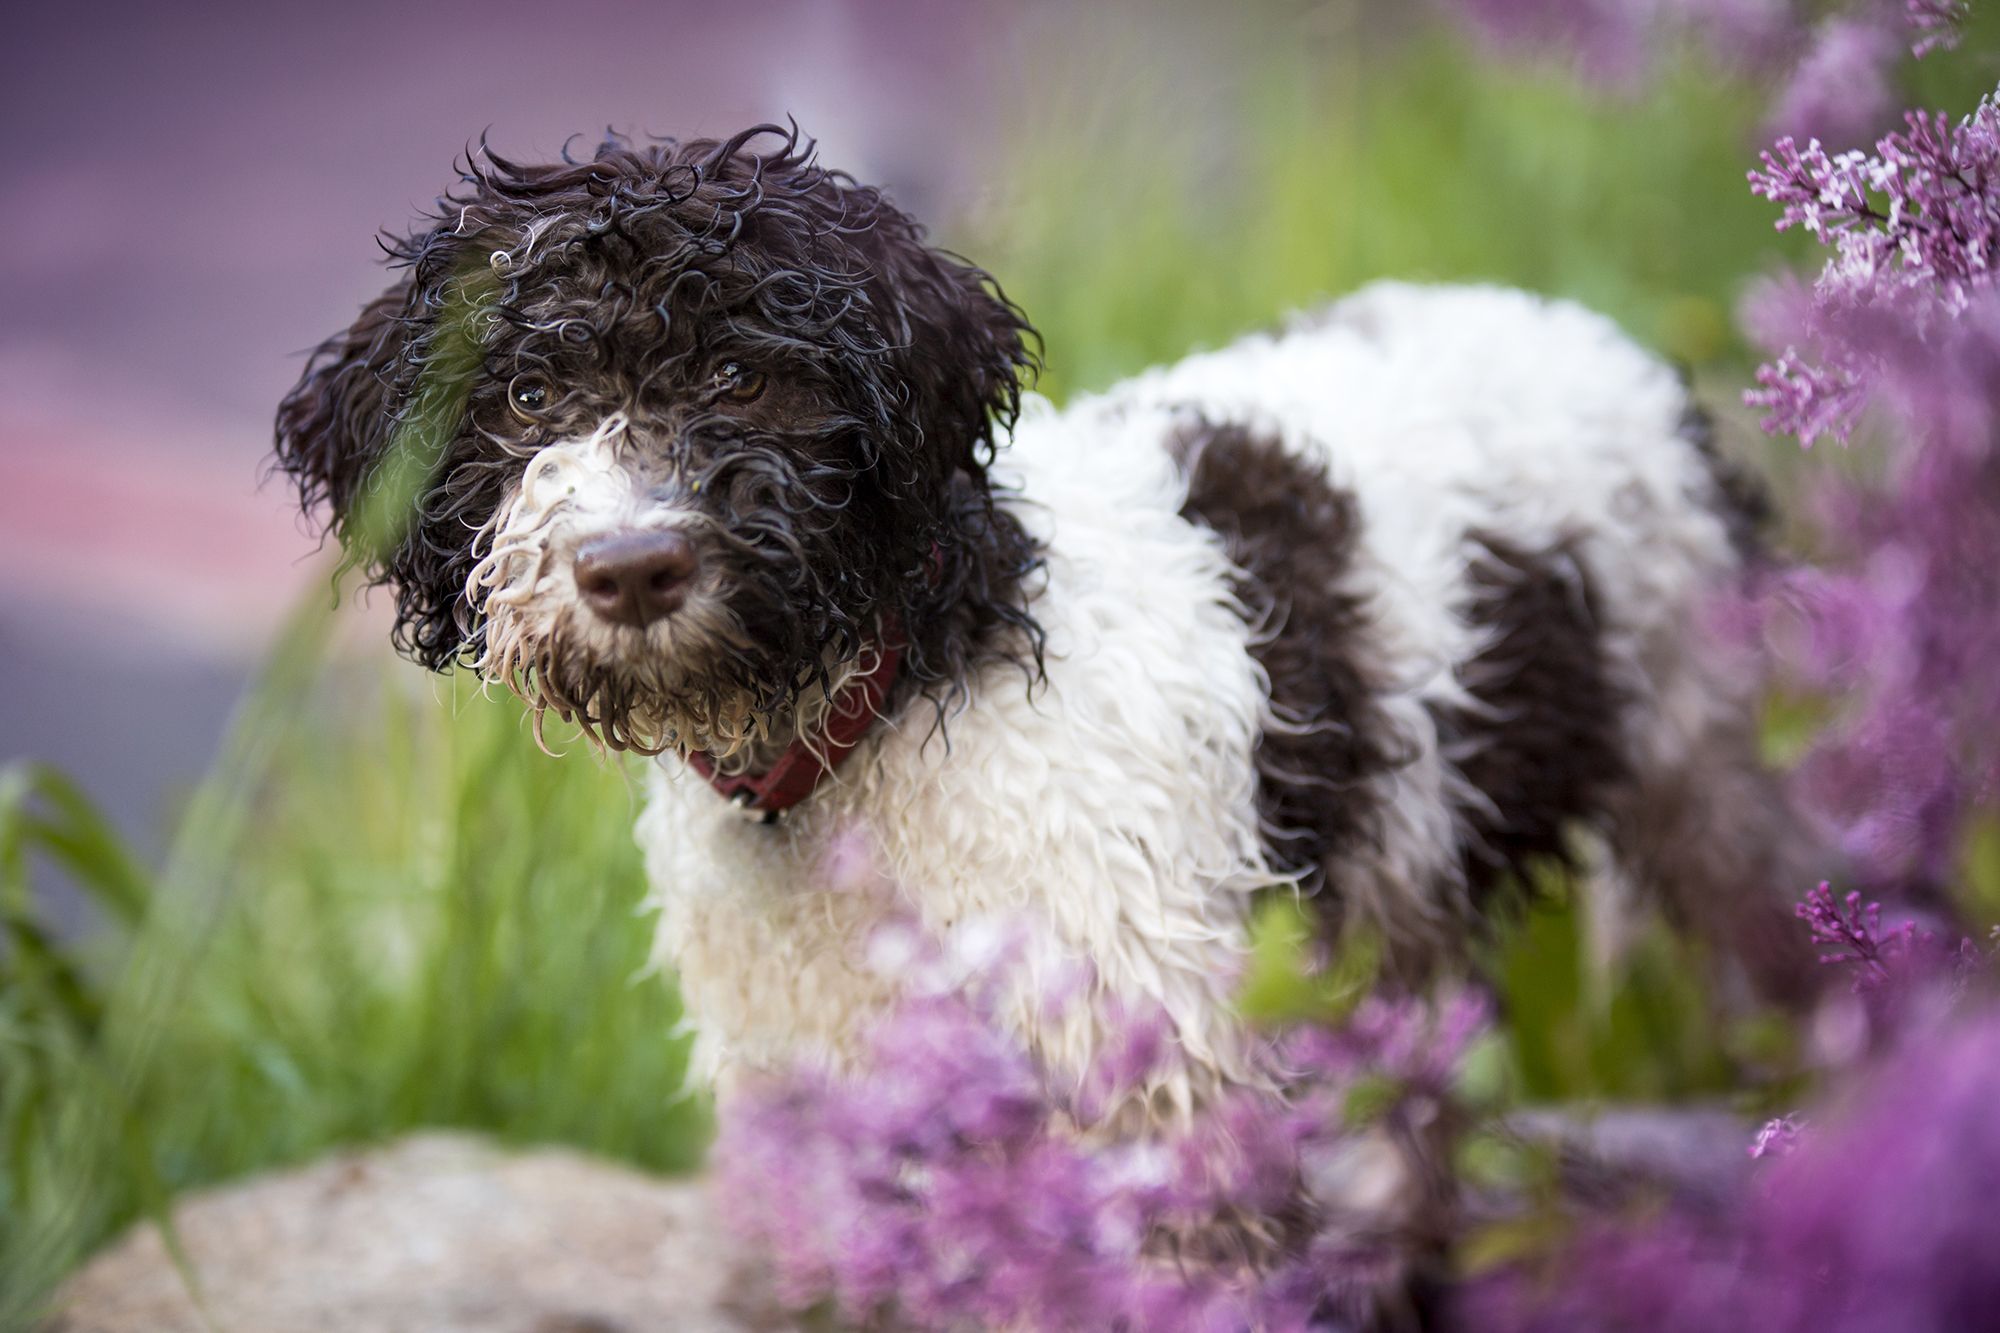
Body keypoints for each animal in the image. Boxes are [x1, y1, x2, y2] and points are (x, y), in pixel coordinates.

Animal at [278, 124, 1800, 1120]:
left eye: (741, 373)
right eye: (528, 397)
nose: (633, 566)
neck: (875, 728)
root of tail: (1599, 335)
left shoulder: (1155, 1073)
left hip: (1707, 799)